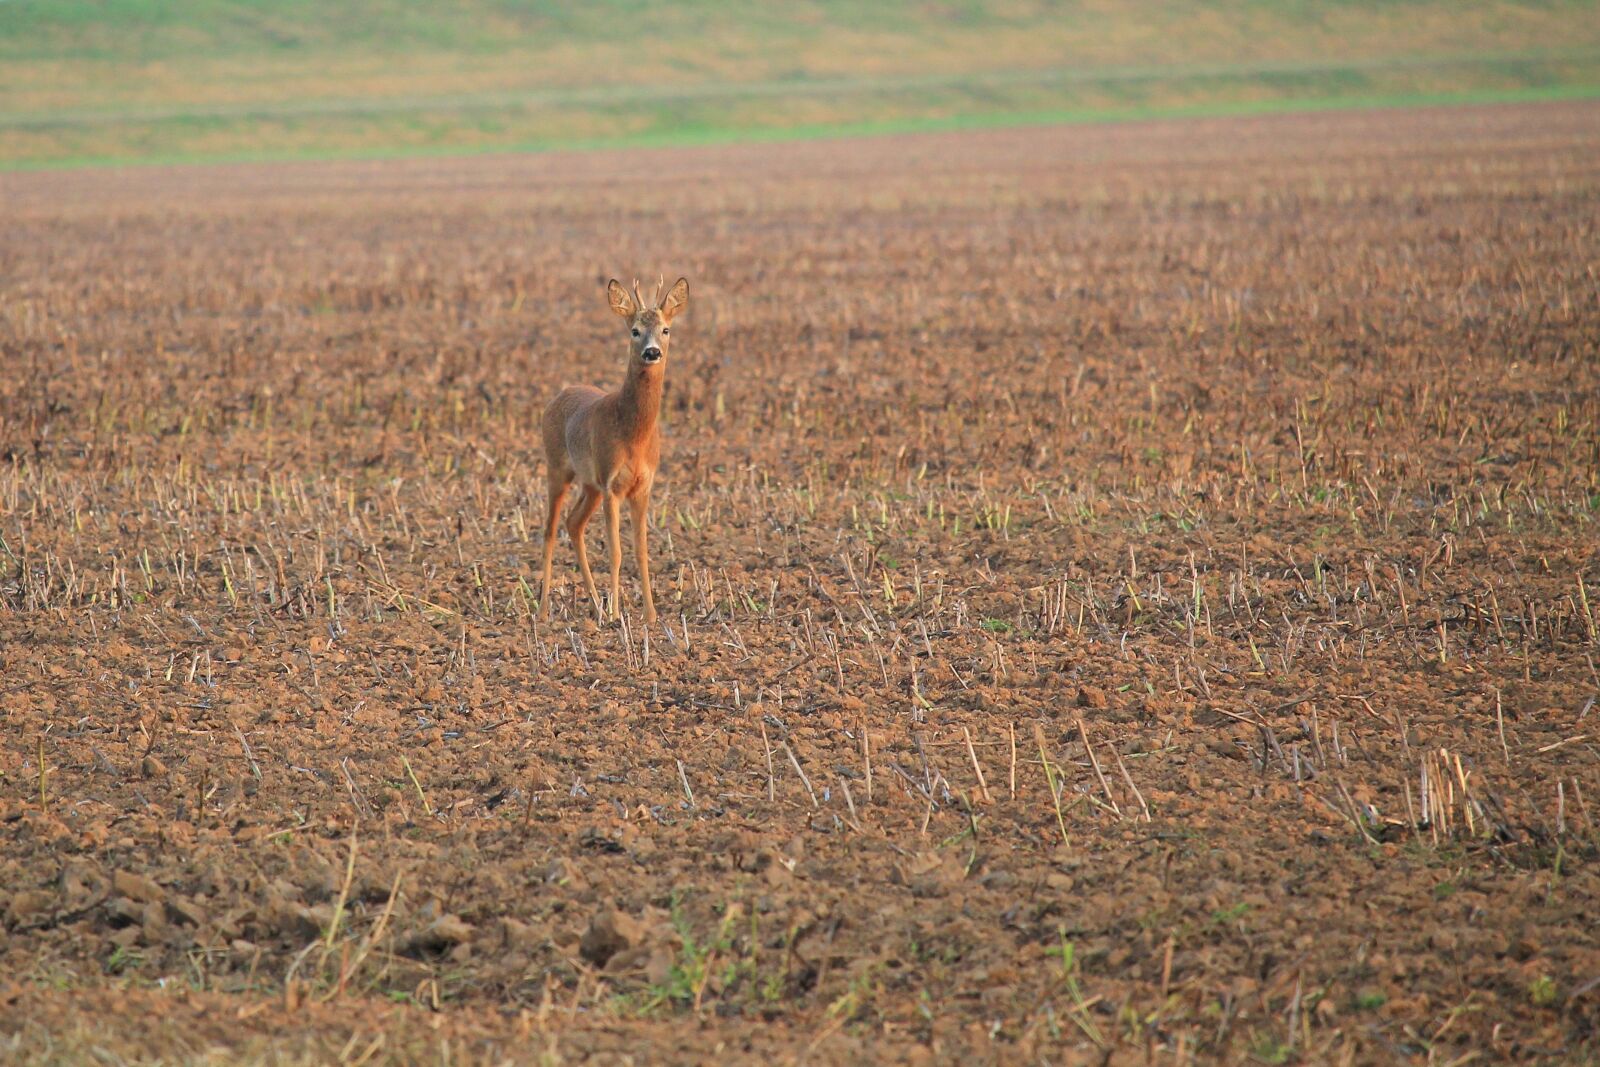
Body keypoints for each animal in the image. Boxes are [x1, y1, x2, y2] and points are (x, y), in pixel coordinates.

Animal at [538, 276, 688, 626]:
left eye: (665, 329)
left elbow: (641, 551)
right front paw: (617, 612)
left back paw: (595, 605)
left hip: (589, 484)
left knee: (573, 523)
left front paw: (650, 614)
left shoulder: (642, 486)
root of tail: (559, 395)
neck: (634, 435)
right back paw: (543, 610)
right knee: (550, 530)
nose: (652, 352)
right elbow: (616, 552)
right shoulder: (612, 485)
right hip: (558, 469)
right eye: (634, 330)